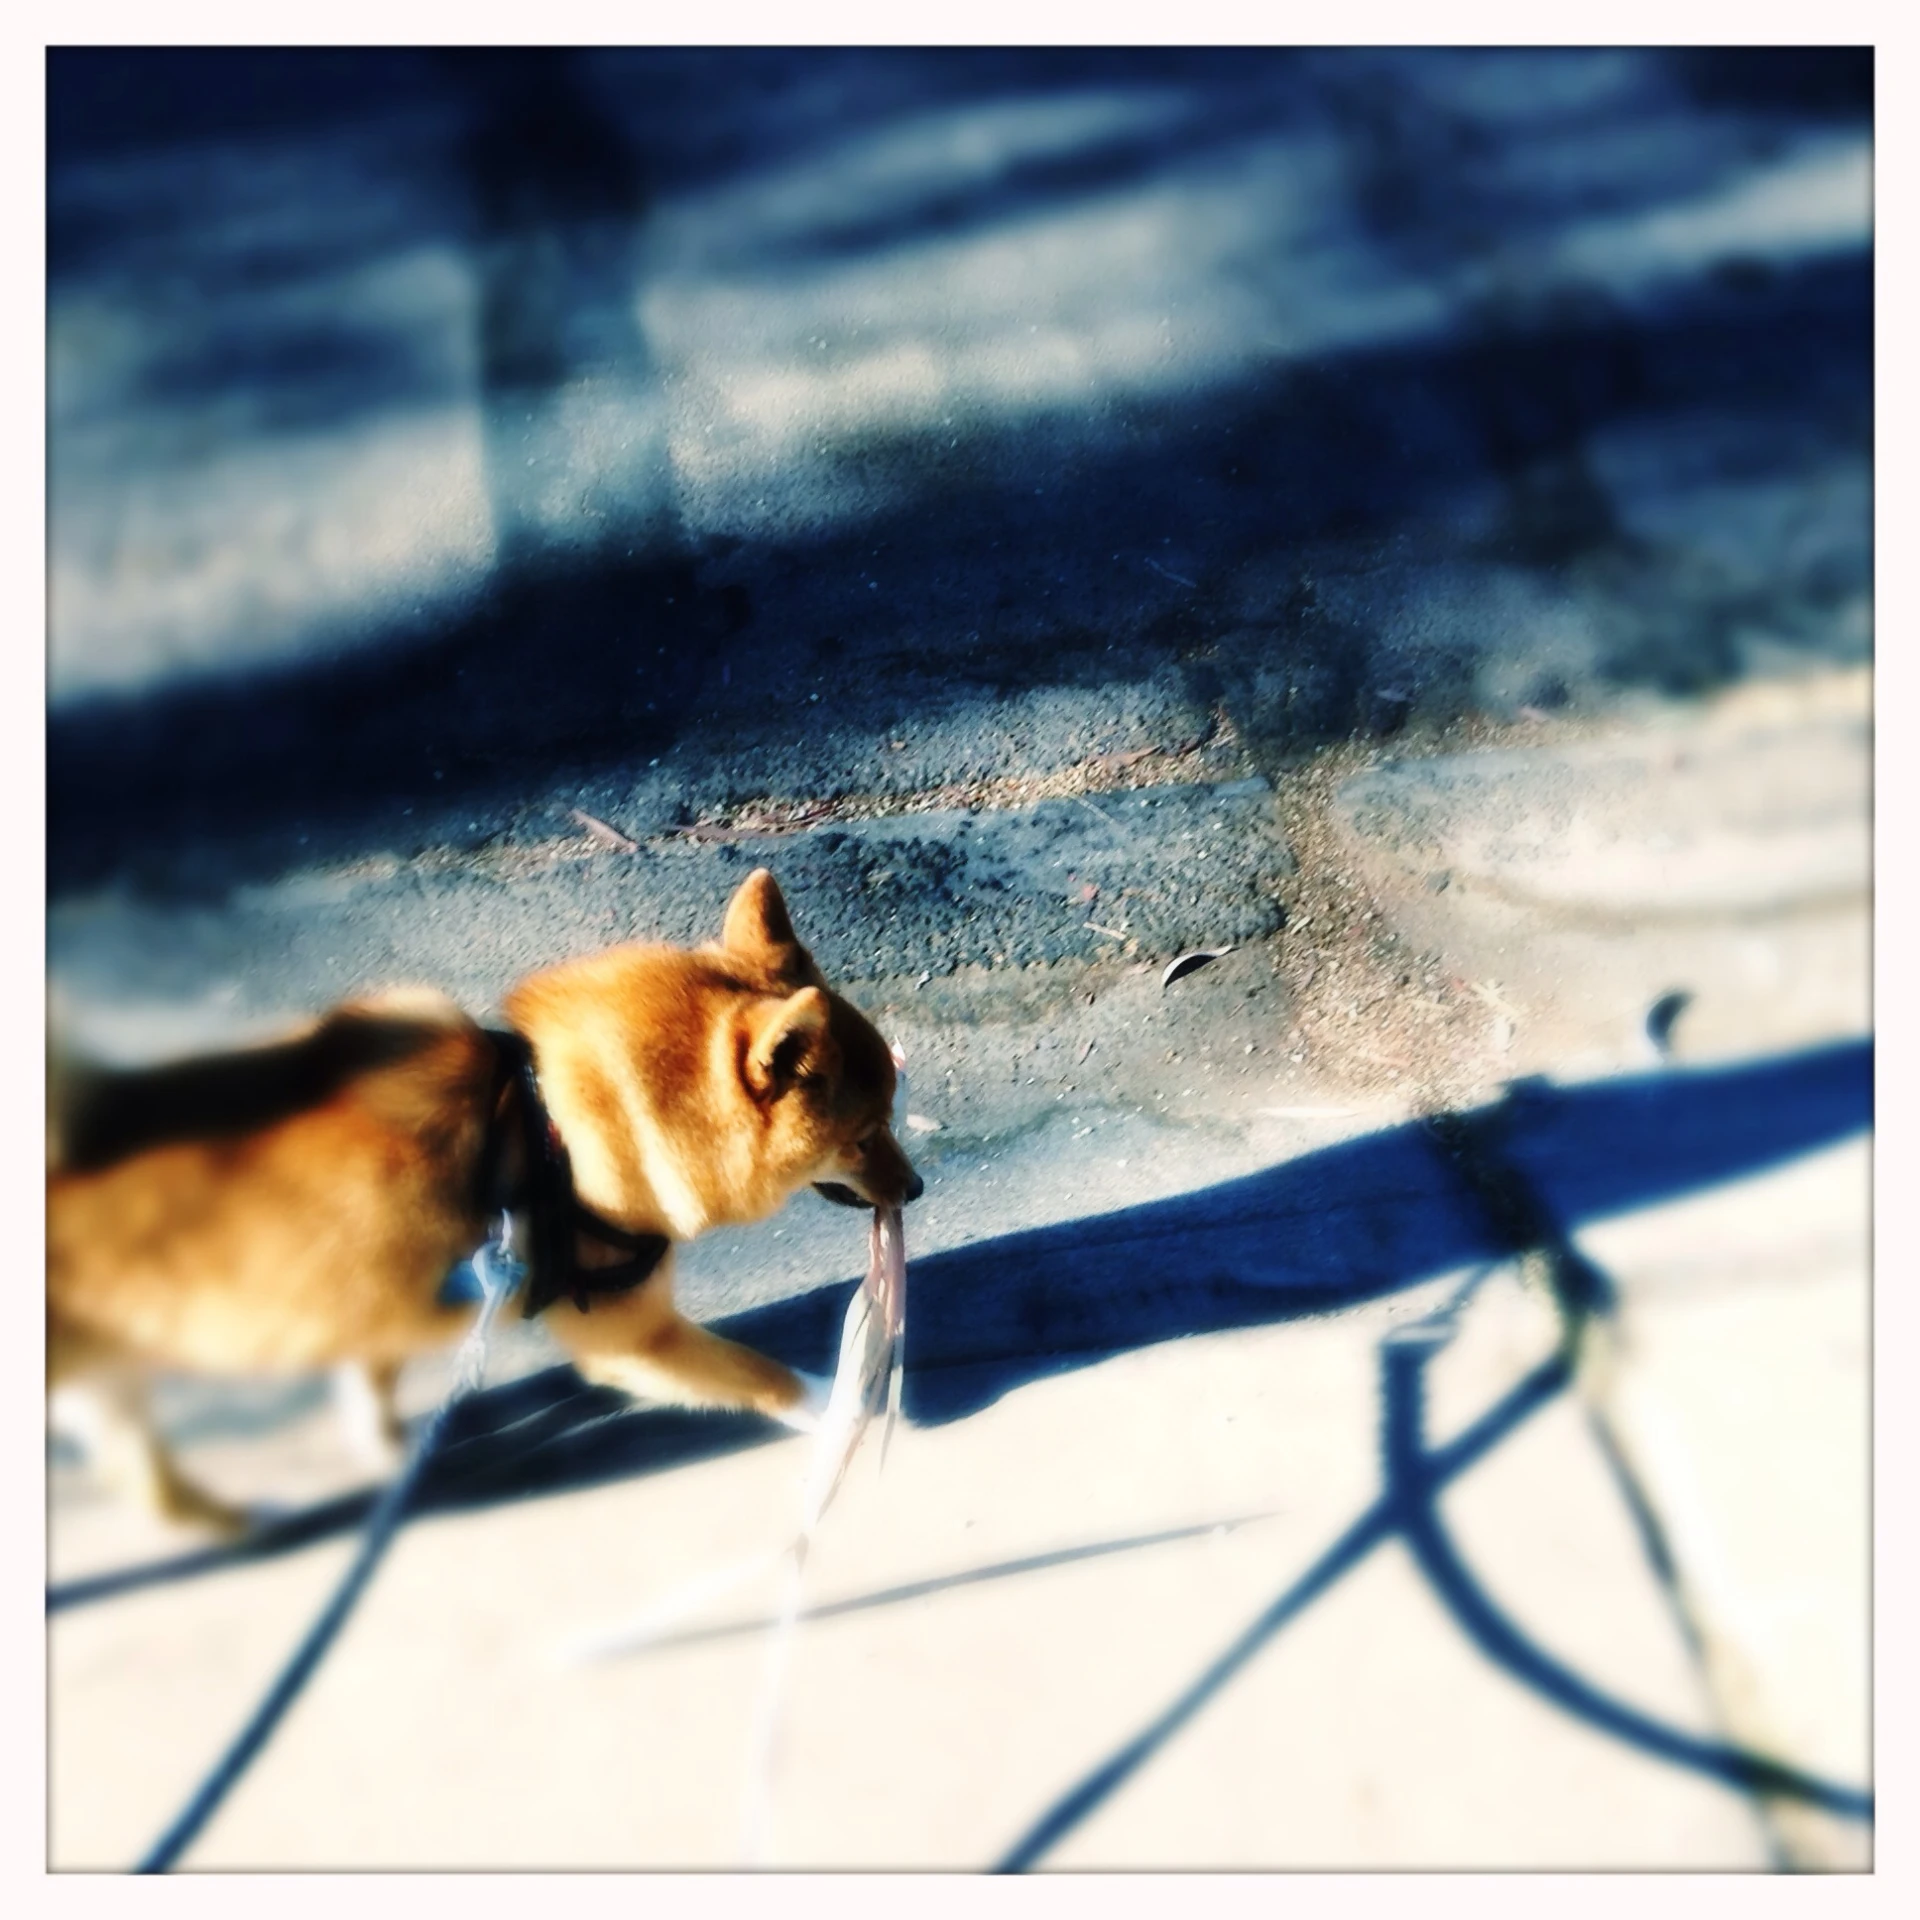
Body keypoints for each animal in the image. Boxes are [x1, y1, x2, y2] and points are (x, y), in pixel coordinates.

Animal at [45, 871, 913, 1528]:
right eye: (866, 1135)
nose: (917, 1187)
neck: (554, 1123)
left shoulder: (391, 1296)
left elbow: (370, 1378)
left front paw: (390, 1450)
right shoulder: (632, 1339)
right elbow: (763, 1375)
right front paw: (844, 1407)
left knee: (137, 1470)